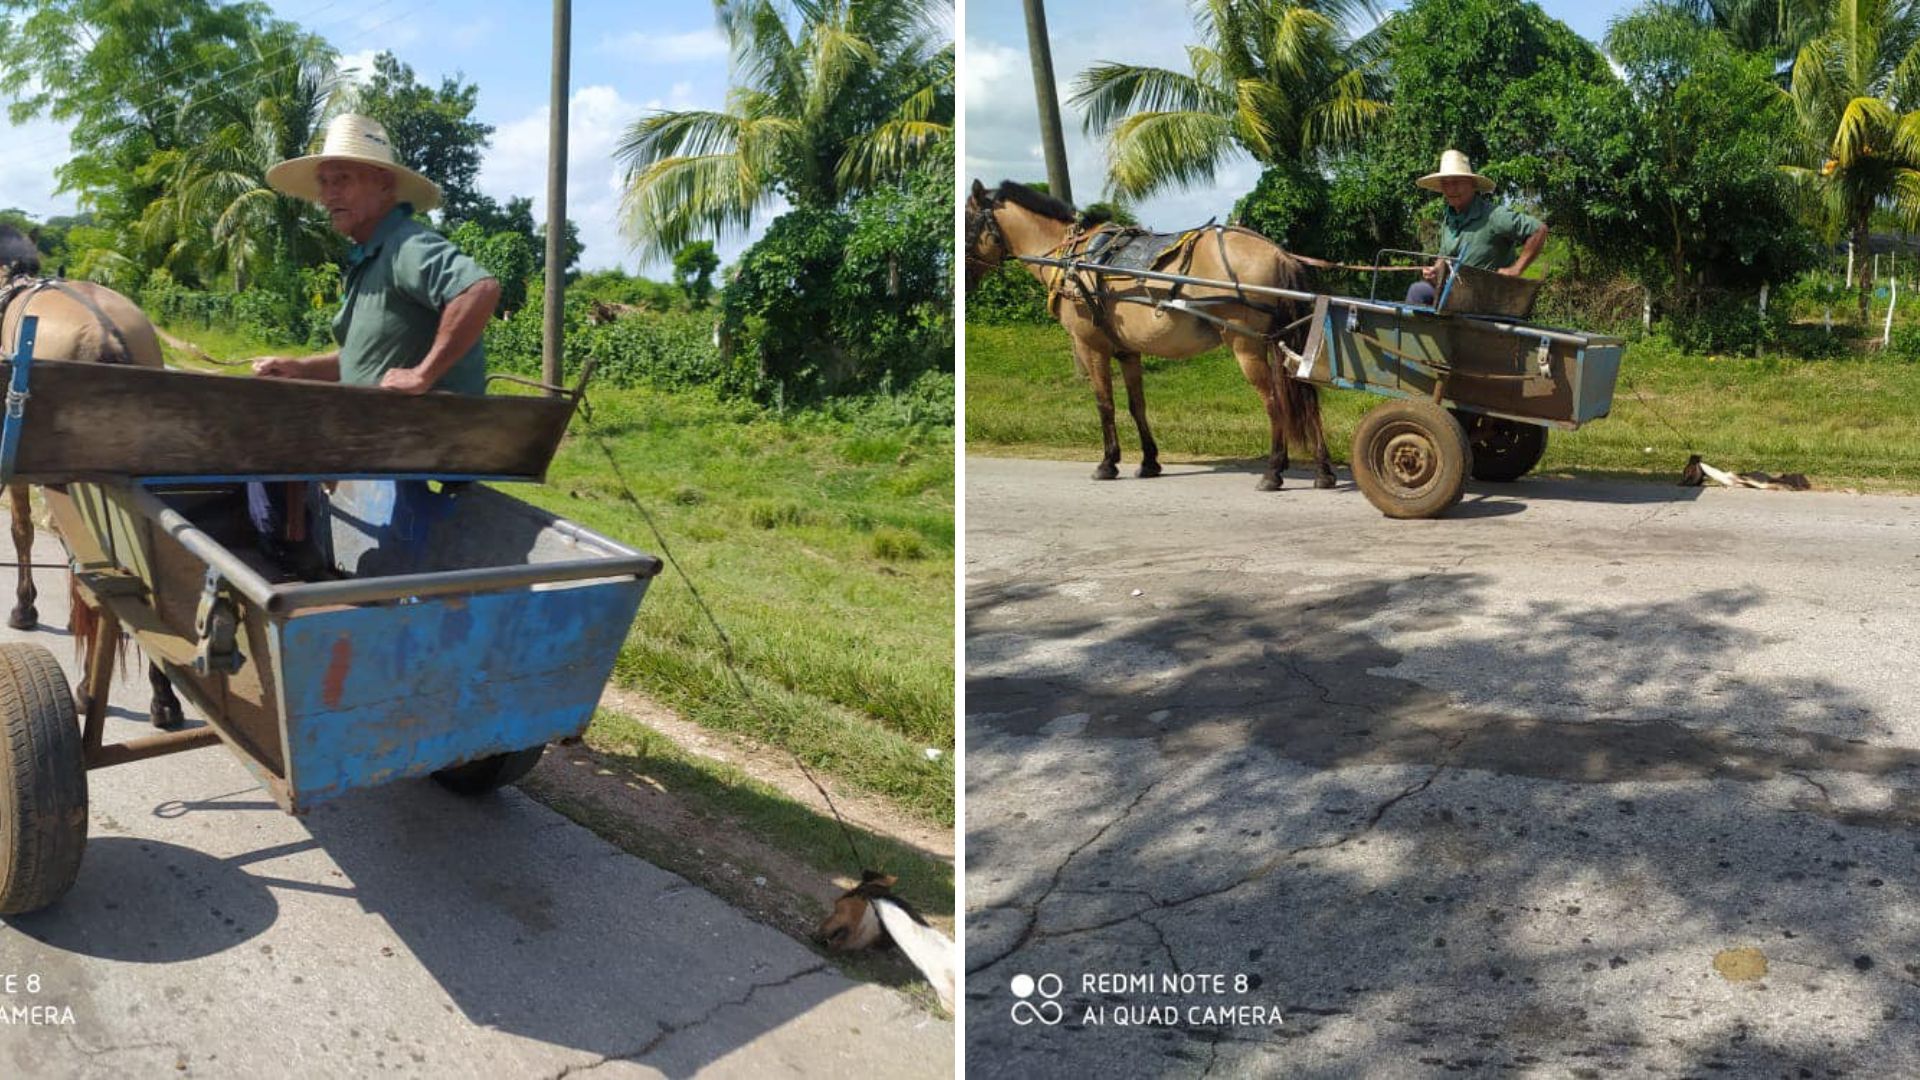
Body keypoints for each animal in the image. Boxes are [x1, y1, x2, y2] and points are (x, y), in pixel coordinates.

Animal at [967, 178, 1328, 490]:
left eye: (968, 223)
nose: (964, 279)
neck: (1073, 259)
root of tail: (1279, 254)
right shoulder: (1128, 350)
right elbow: (1136, 404)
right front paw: (1149, 462)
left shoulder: (1090, 345)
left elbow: (1104, 403)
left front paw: (1107, 463)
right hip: (1280, 343)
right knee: (1307, 398)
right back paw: (1322, 471)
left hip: (1246, 345)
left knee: (1274, 402)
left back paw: (1273, 471)